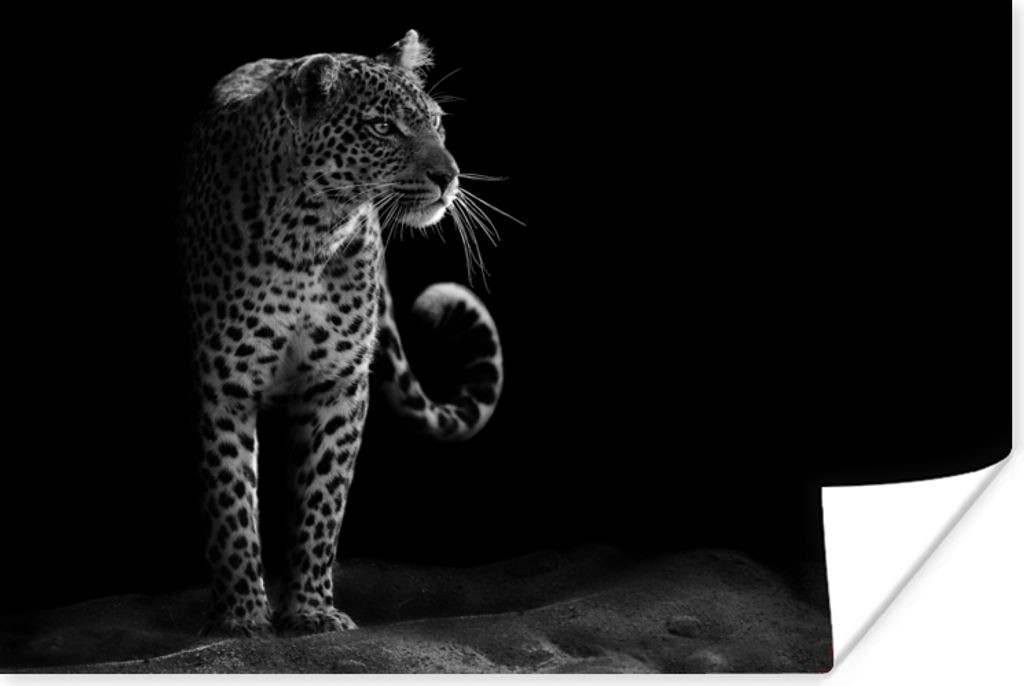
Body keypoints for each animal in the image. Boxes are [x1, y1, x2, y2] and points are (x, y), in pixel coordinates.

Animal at [179, 30, 504, 636]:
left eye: (436, 122)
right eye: (383, 127)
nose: (448, 176)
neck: (309, 233)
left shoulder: (338, 384)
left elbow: (322, 499)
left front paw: (310, 609)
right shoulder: (224, 381)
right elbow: (231, 500)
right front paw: (241, 616)